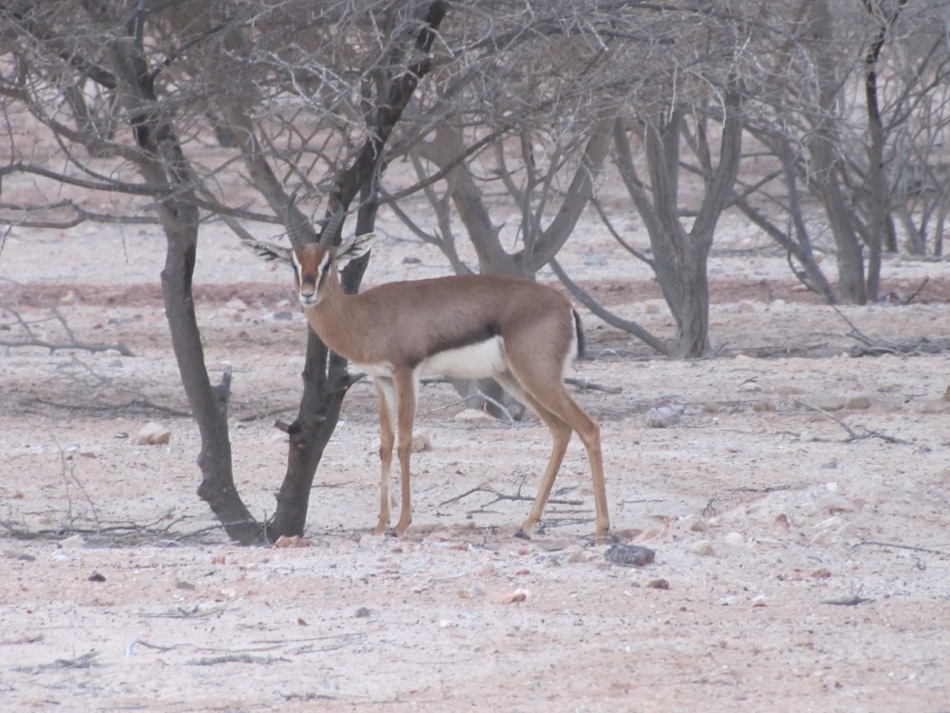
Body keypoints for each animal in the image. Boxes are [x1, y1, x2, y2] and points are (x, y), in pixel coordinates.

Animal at [249, 198, 609, 539]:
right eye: (295, 263)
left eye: (330, 261)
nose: (307, 294)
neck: (362, 314)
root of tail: (565, 305)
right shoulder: (381, 379)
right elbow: (385, 443)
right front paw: (380, 525)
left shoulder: (405, 372)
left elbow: (406, 440)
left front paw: (401, 524)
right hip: (515, 378)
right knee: (561, 430)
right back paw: (528, 524)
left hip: (536, 376)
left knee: (588, 427)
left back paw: (601, 528)